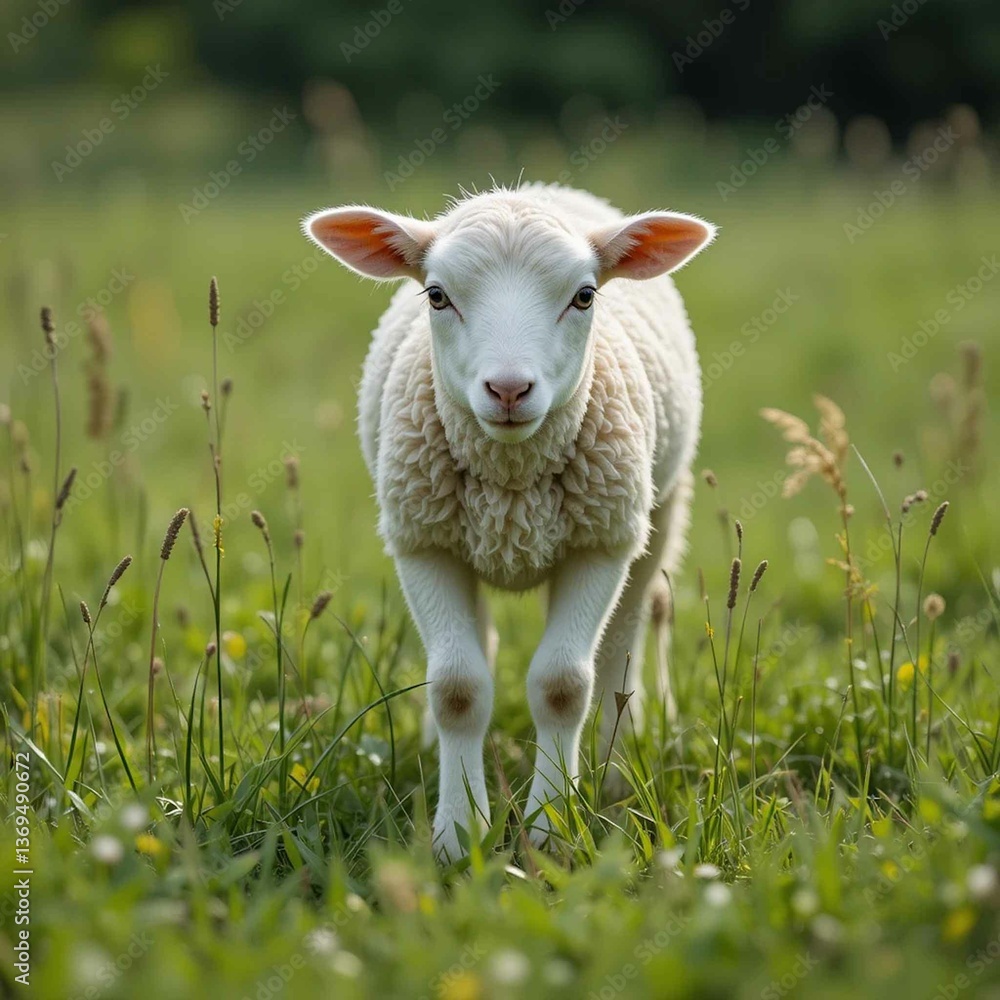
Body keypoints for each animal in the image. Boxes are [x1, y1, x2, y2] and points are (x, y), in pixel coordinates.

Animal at [303, 182, 716, 860]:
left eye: (585, 295)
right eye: (436, 295)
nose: (508, 389)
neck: (513, 481)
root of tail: (540, 188)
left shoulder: (599, 543)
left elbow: (562, 685)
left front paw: (552, 829)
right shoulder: (424, 542)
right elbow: (457, 688)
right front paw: (457, 835)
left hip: (657, 509)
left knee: (627, 639)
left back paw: (618, 761)